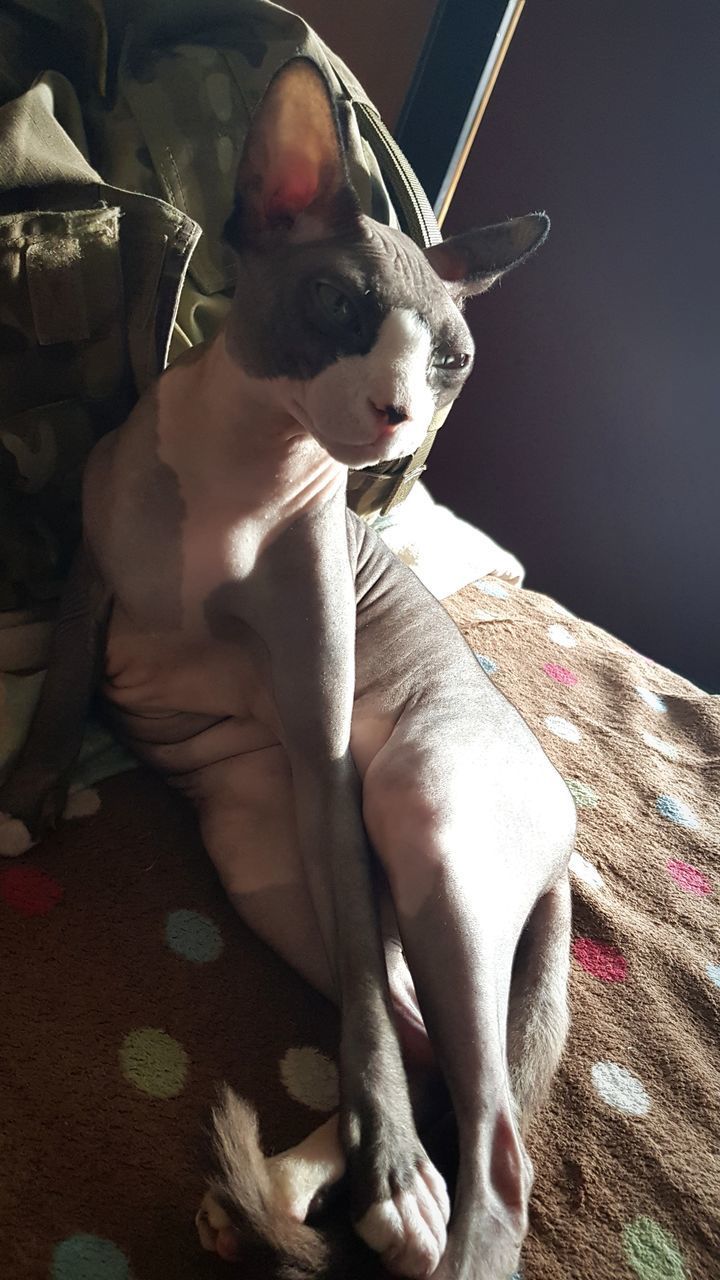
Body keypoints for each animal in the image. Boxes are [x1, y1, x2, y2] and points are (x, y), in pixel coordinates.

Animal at [0, 55, 571, 1274]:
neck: (242, 466)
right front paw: (27, 796)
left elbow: (361, 1007)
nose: (400, 416)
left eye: (453, 361)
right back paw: (299, 1183)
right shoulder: (91, 578)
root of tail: (568, 835)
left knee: (489, 1127)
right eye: (342, 306)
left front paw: (390, 1167)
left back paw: (395, 1196)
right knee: (422, 1039)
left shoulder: (326, 756)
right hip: (266, 861)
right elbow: (59, 683)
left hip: (415, 805)